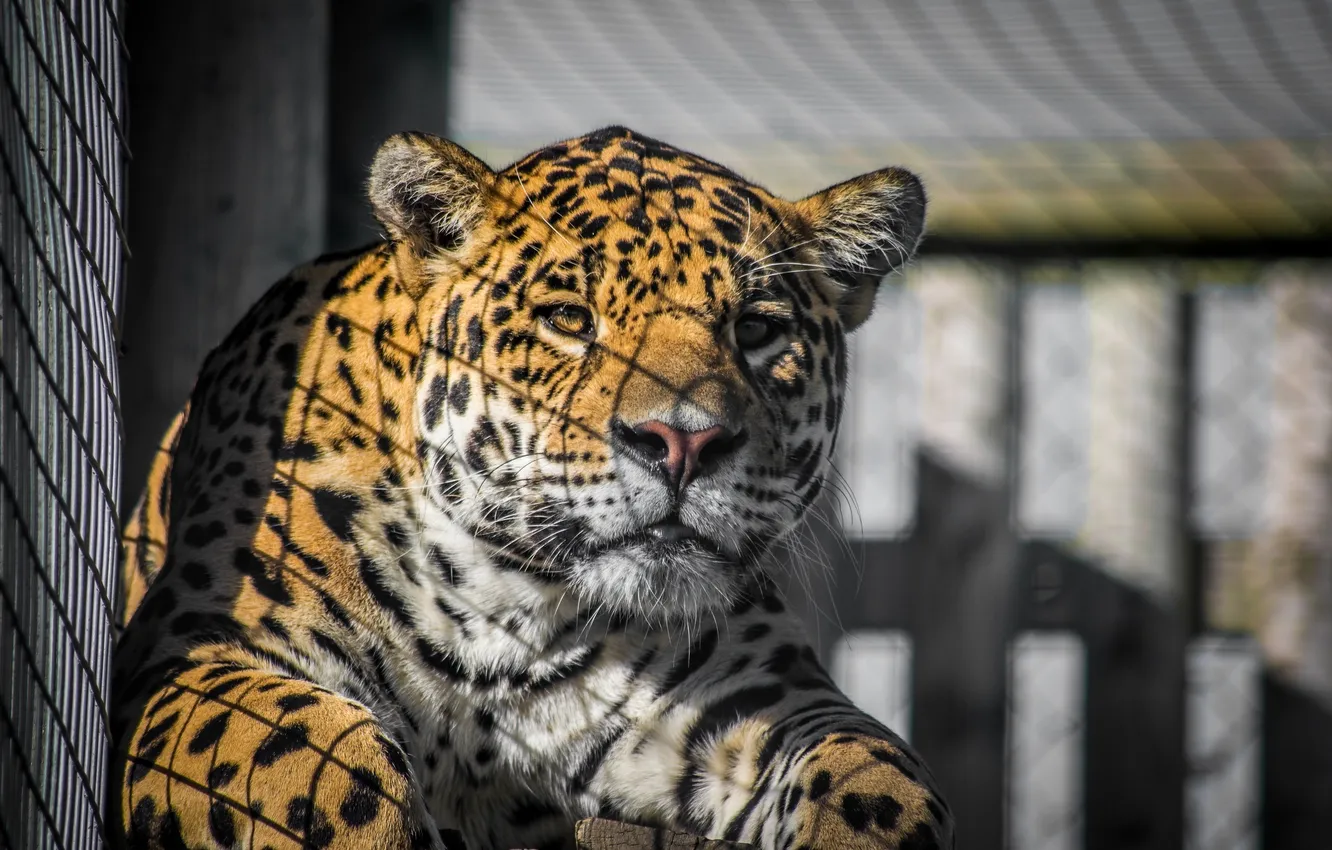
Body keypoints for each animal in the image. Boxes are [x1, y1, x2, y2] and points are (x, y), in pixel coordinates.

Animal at [111, 126, 951, 850]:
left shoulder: (764, 698)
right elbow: (318, 753)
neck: (510, 615)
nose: (683, 442)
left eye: (756, 329)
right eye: (568, 319)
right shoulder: (190, 655)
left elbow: (878, 778)